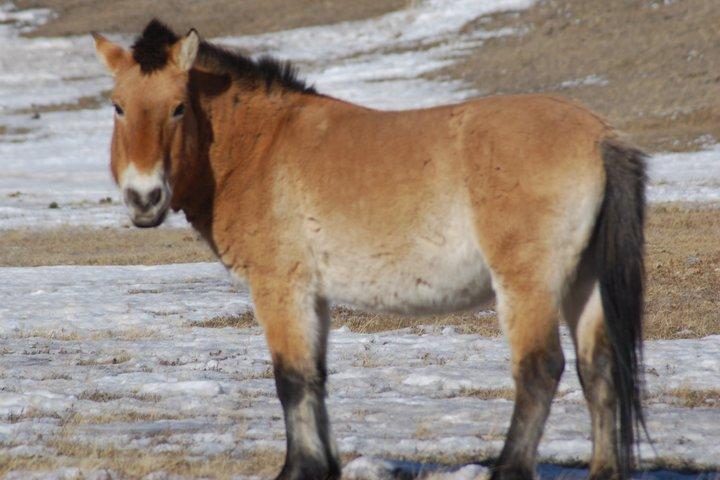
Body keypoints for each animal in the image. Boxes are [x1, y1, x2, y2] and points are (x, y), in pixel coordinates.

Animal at [92, 19, 647, 480]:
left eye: (178, 107)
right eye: (118, 106)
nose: (144, 198)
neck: (261, 147)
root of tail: (600, 137)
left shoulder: (279, 287)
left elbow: (290, 378)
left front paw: (298, 470)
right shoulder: (313, 296)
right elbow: (314, 377)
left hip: (527, 286)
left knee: (539, 370)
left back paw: (508, 469)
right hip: (582, 284)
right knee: (597, 371)